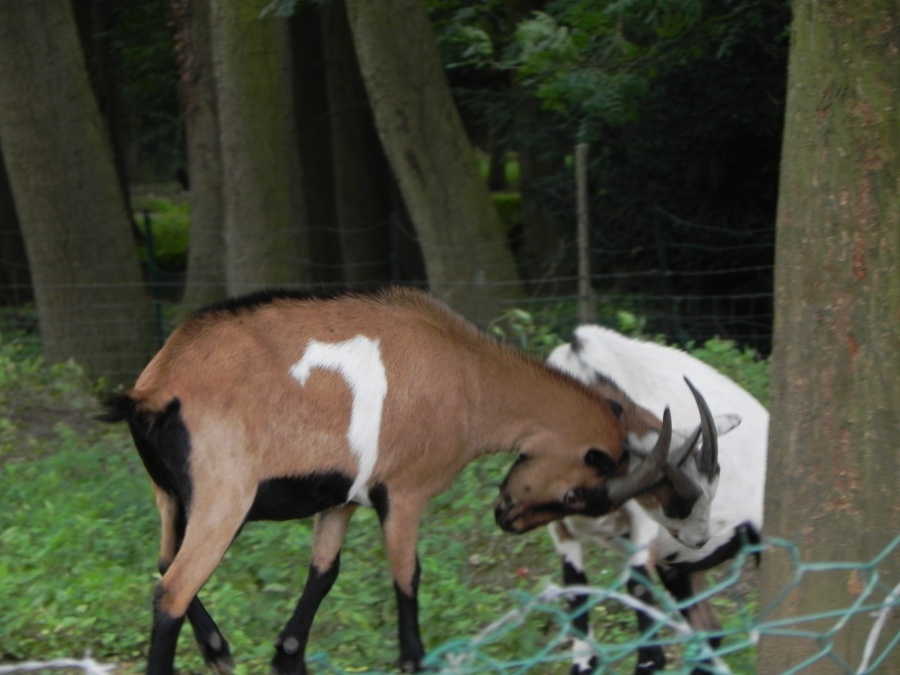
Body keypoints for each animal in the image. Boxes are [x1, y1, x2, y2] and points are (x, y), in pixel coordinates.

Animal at [100, 286, 704, 675]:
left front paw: (285, 652)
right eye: (579, 492)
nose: (505, 516)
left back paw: (218, 648)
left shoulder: (341, 498)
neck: (469, 377)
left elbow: (323, 577)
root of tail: (156, 386)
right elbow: (408, 584)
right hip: (226, 498)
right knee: (173, 589)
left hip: (173, 498)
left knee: (164, 564)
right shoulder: (405, 493)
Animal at [540, 324, 768, 672]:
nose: (700, 536)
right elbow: (581, 636)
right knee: (709, 634)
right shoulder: (562, 530)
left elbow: (648, 650)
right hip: (681, 568)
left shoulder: (642, 525)